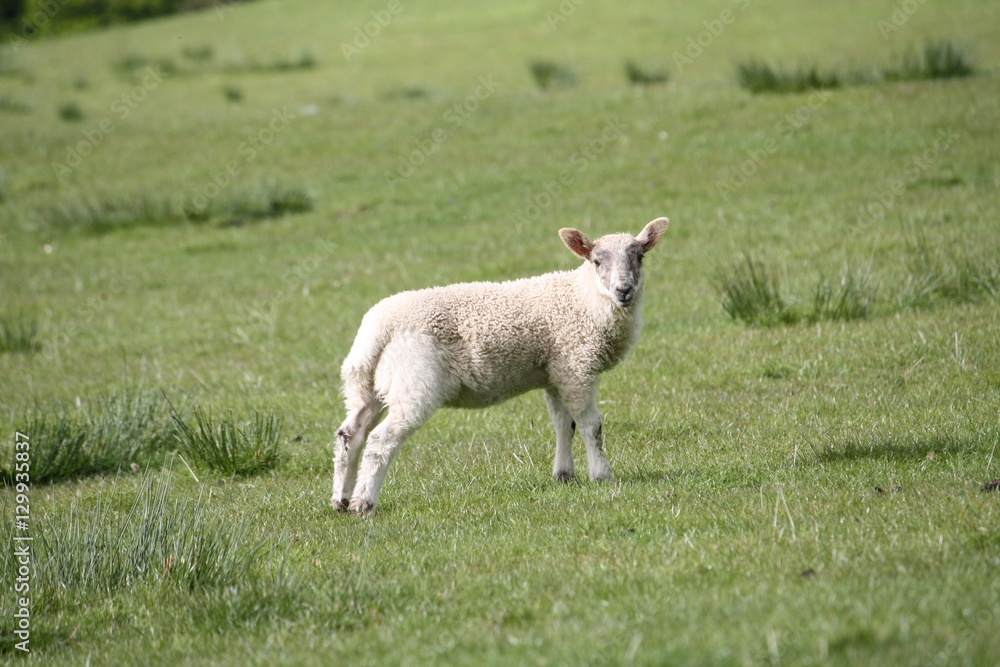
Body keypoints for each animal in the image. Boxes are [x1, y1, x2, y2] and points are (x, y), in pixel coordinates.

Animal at [331, 217, 669, 514]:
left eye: (639, 257)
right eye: (596, 261)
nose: (624, 290)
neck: (583, 299)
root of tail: (376, 331)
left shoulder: (557, 370)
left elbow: (564, 424)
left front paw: (564, 475)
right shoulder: (577, 365)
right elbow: (590, 426)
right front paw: (602, 475)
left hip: (368, 385)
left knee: (350, 434)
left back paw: (342, 499)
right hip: (414, 381)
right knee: (380, 441)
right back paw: (364, 503)